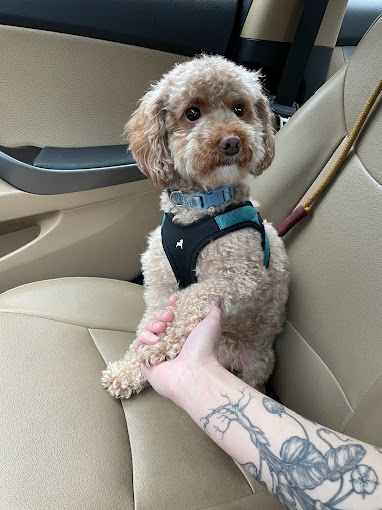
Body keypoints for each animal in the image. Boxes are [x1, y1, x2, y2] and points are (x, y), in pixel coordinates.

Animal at [101, 54, 290, 398]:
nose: (231, 141)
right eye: (192, 113)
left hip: (258, 365)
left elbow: (191, 300)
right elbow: (150, 321)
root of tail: (228, 354)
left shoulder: (239, 277)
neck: (201, 206)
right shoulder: (160, 285)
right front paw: (127, 372)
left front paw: (159, 344)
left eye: (239, 108)